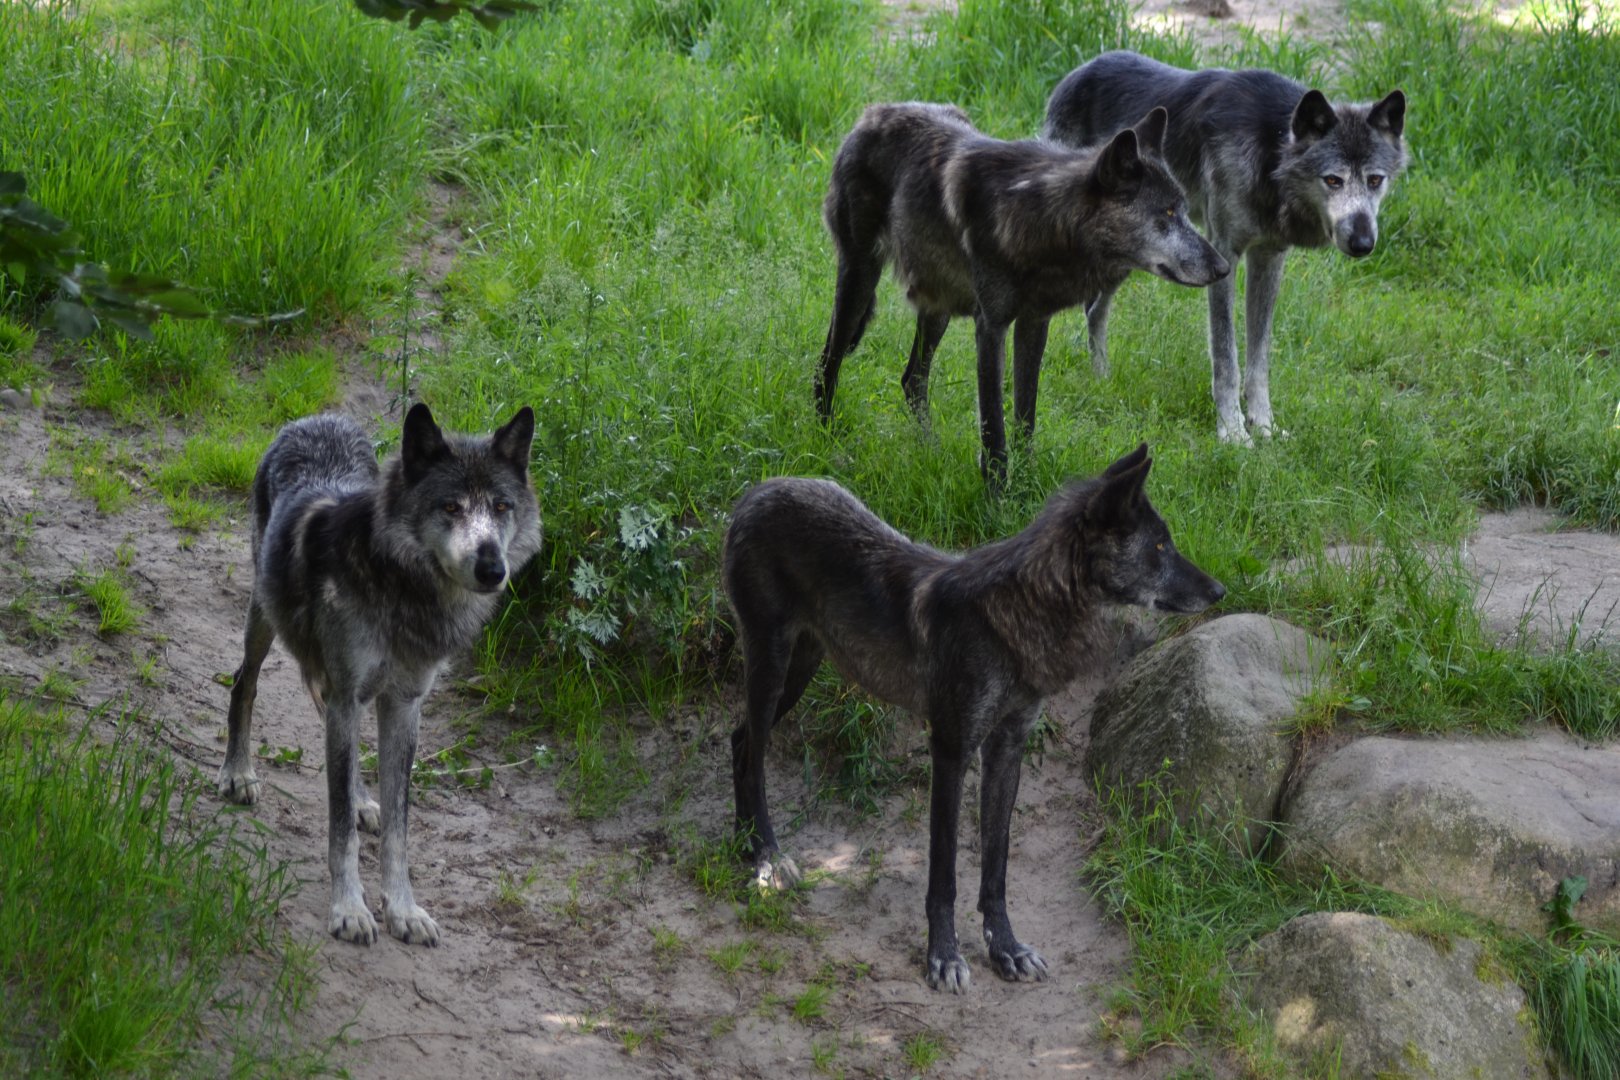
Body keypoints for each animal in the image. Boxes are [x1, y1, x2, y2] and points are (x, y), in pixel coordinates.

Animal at [216, 402, 540, 946]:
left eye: (501, 507)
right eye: (450, 507)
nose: (492, 568)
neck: (404, 591)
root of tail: (317, 419)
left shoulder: (403, 705)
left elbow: (398, 828)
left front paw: (403, 910)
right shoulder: (348, 695)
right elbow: (340, 828)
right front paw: (349, 909)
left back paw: (363, 798)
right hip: (264, 618)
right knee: (244, 683)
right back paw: (237, 774)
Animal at [723, 444, 1225, 991]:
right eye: (1159, 546)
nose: (1220, 590)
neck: (1019, 613)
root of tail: (756, 490)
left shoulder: (1007, 747)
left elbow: (996, 865)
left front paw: (1005, 948)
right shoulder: (951, 747)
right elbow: (944, 873)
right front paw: (943, 956)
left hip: (802, 668)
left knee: (740, 741)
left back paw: (746, 844)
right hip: (773, 667)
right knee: (753, 753)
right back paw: (768, 857)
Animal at [815, 102, 1228, 482]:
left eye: (1184, 211)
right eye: (1168, 213)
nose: (1223, 268)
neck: (1043, 221)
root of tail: (872, 114)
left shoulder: (1033, 323)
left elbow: (1025, 418)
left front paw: (1027, 485)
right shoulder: (991, 327)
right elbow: (994, 431)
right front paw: (998, 499)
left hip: (937, 306)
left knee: (913, 379)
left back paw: (929, 449)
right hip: (859, 278)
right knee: (827, 366)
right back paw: (827, 440)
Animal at [1043, 51, 1407, 443]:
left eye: (1375, 180)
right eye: (1333, 180)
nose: (1362, 243)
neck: (1269, 154)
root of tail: (1078, 71)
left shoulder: (1269, 258)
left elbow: (1259, 362)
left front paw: (1264, 427)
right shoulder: (1224, 256)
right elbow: (1226, 358)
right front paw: (1232, 432)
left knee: (1094, 309)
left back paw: (1102, 381)